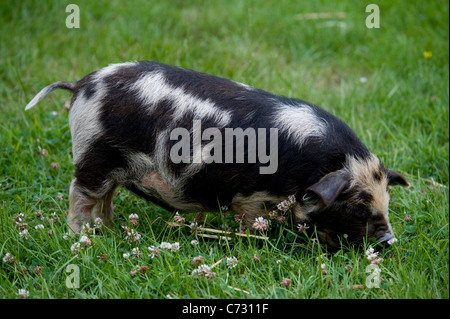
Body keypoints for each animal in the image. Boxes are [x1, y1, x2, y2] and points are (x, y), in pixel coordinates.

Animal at [26, 62, 410, 248]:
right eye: (358, 206)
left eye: (386, 201)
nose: (389, 241)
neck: (310, 166)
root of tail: (82, 85)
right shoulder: (251, 197)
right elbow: (252, 222)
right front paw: (258, 246)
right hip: (93, 154)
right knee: (80, 194)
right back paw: (80, 236)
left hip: (113, 166)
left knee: (105, 199)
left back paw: (112, 230)